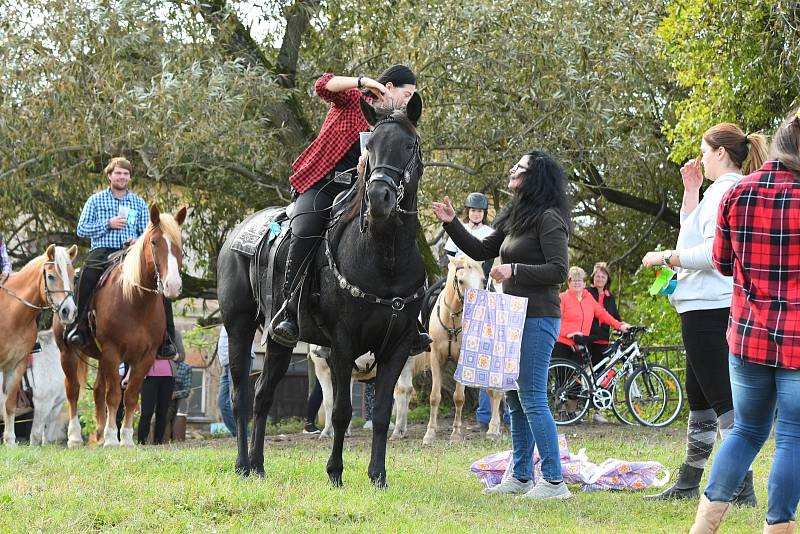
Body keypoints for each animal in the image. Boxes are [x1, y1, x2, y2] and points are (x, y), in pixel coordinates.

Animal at [0, 245, 77, 446]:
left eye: (72, 275)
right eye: (50, 276)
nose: (68, 311)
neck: (11, 315)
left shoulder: (16, 365)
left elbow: (9, 403)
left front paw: (10, 441)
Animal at [53, 205, 188, 448]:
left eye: (180, 242)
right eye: (154, 242)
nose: (172, 286)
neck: (136, 301)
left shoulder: (145, 357)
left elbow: (131, 396)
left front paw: (125, 439)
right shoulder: (112, 351)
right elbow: (114, 395)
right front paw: (111, 439)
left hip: (100, 357)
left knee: (97, 390)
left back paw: (97, 435)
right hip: (67, 352)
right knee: (74, 390)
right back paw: (75, 437)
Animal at [212, 94, 424, 488]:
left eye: (408, 145)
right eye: (370, 145)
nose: (379, 197)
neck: (385, 258)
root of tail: (240, 232)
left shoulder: (398, 345)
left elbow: (382, 413)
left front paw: (378, 476)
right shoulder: (342, 343)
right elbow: (340, 411)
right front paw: (335, 472)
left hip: (278, 341)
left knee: (263, 396)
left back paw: (258, 465)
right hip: (239, 326)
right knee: (240, 396)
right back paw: (242, 464)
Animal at [390, 255, 504, 444]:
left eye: (482, 280)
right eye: (461, 280)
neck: (452, 319)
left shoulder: (462, 362)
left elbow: (458, 398)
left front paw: (456, 434)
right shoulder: (436, 358)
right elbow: (434, 397)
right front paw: (429, 434)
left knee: (496, 392)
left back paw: (493, 430)